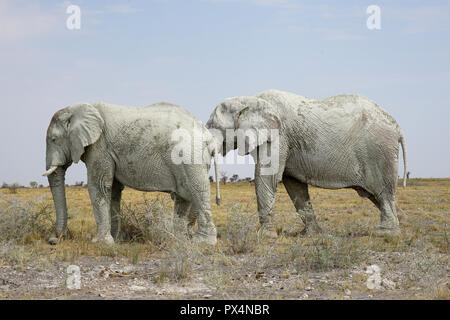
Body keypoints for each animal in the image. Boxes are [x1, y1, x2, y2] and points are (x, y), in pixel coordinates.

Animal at [44, 102, 221, 245]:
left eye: (53, 139)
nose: (53, 240)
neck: (77, 109)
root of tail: (209, 138)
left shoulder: (100, 147)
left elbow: (99, 186)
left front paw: (101, 243)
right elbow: (114, 190)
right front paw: (117, 240)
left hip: (190, 157)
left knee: (197, 192)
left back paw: (203, 242)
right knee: (183, 196)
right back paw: (178, 240)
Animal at [207, 89, 408, 236]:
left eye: (214, 126)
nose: (218, 201)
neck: (249, 99)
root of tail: (397, 127)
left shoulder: (279, 136)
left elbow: (267, 178)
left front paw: (265, 236)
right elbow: (294, 186)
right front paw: (310, 235)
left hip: (380, 151)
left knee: (383, 193)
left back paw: (386, 233)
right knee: (377, 196)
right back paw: (400, 226)